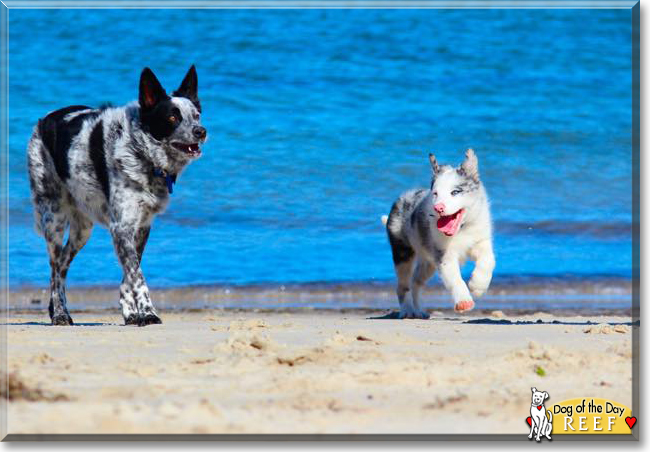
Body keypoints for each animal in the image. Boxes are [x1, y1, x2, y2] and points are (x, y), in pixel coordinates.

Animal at [26, 66, 205, 324]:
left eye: (197, 115)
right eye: (172, 117)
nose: (201, 131)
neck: (142, 153)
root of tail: (45, 119)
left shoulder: (140, 226)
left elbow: (129, 272)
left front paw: (131, 313)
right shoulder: (121, 226)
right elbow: (137, 276)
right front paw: (148, 313)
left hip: (82, 230)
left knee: (62, 264)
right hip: (53, 219)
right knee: (55, 269)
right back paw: (60, 313)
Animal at [384, 149, 492, 318]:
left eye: (455, 192)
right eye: (435, 193)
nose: (438, 208)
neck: (462, 229)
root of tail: (402, 198)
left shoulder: (481, 241)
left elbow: (488, 260)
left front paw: (478, 285)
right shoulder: (444, 255)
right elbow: (454, 278)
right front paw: (464, 301)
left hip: (428, 263)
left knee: (416, 283)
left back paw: (419, 311)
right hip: (403, 253)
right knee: (403, 286)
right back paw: (407, 311)